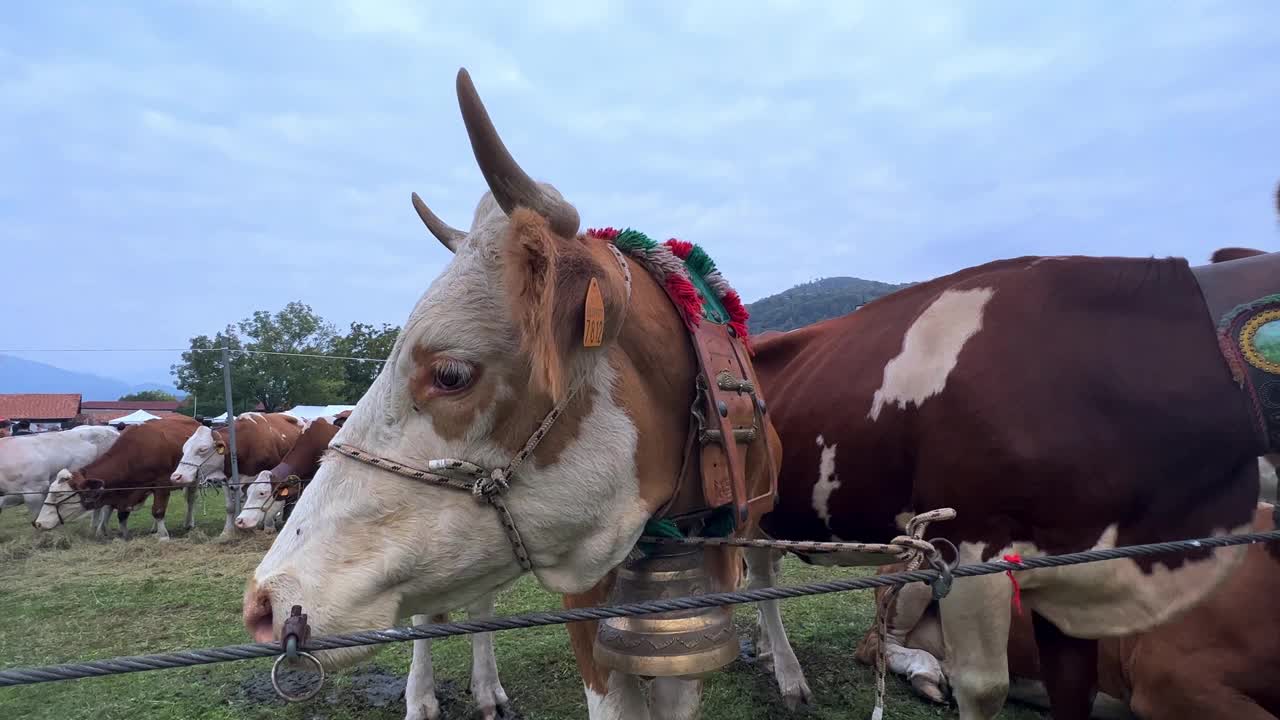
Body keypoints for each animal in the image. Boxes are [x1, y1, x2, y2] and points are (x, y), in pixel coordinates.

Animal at [35, 409, 202, 538]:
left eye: (59, 495)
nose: (38, 523)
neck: (136, 452)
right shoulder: (126, 491)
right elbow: (121, 515)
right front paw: (125, 536)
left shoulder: (162, 484)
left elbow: (158, 510)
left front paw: (163, 536)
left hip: (192, 480)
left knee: (191, 499)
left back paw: (189, 523)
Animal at [241, 70, 778, 717]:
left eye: (450, 373)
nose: (264, 603)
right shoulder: (587, 601)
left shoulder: (709, 581)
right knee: (430, 615)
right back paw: (423, 696)